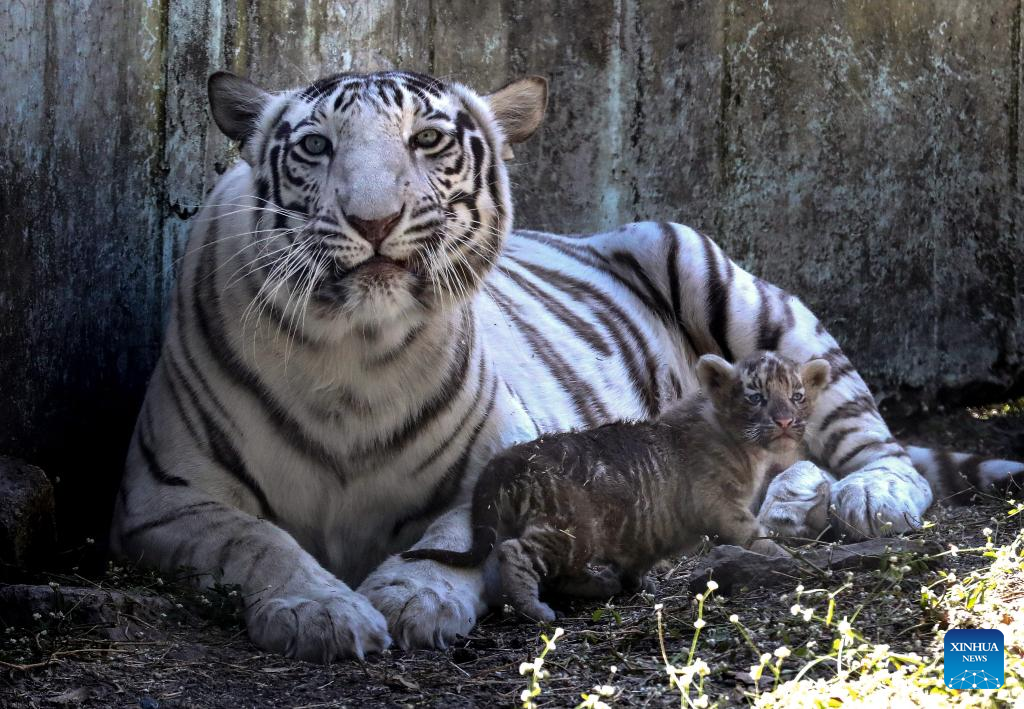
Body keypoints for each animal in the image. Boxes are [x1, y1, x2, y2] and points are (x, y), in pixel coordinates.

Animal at [108, 69, 1019, 663]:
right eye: (315, 146)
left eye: (427, 140)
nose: (374, 221)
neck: (354, 356)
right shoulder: (166, 502)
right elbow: (259, 542)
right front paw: (318, 610)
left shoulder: (511, 460)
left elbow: (454, 536)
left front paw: (411, 595)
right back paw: (795, 505)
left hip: (722, 279)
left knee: (866, 436)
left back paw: (866, 497)